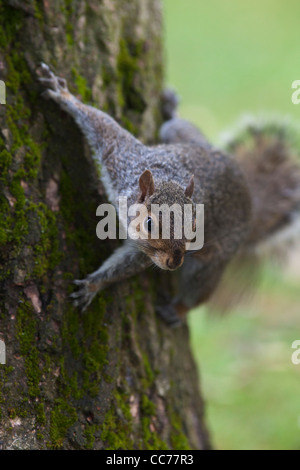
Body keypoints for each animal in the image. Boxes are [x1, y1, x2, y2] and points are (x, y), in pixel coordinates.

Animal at [37, 63, 300, 326]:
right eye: (149, 223)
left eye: (195, 226)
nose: (173, 263)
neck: (166, 180)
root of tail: (251, 202)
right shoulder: (122, 159)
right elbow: (103, 126)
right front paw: (64, 96)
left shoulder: (146, 249)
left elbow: (128, 265)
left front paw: (93, 285)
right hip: (183, 136)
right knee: (177, 125)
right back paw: (172, 109)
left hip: (211, 260)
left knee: (199, 291)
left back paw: (178, 309)